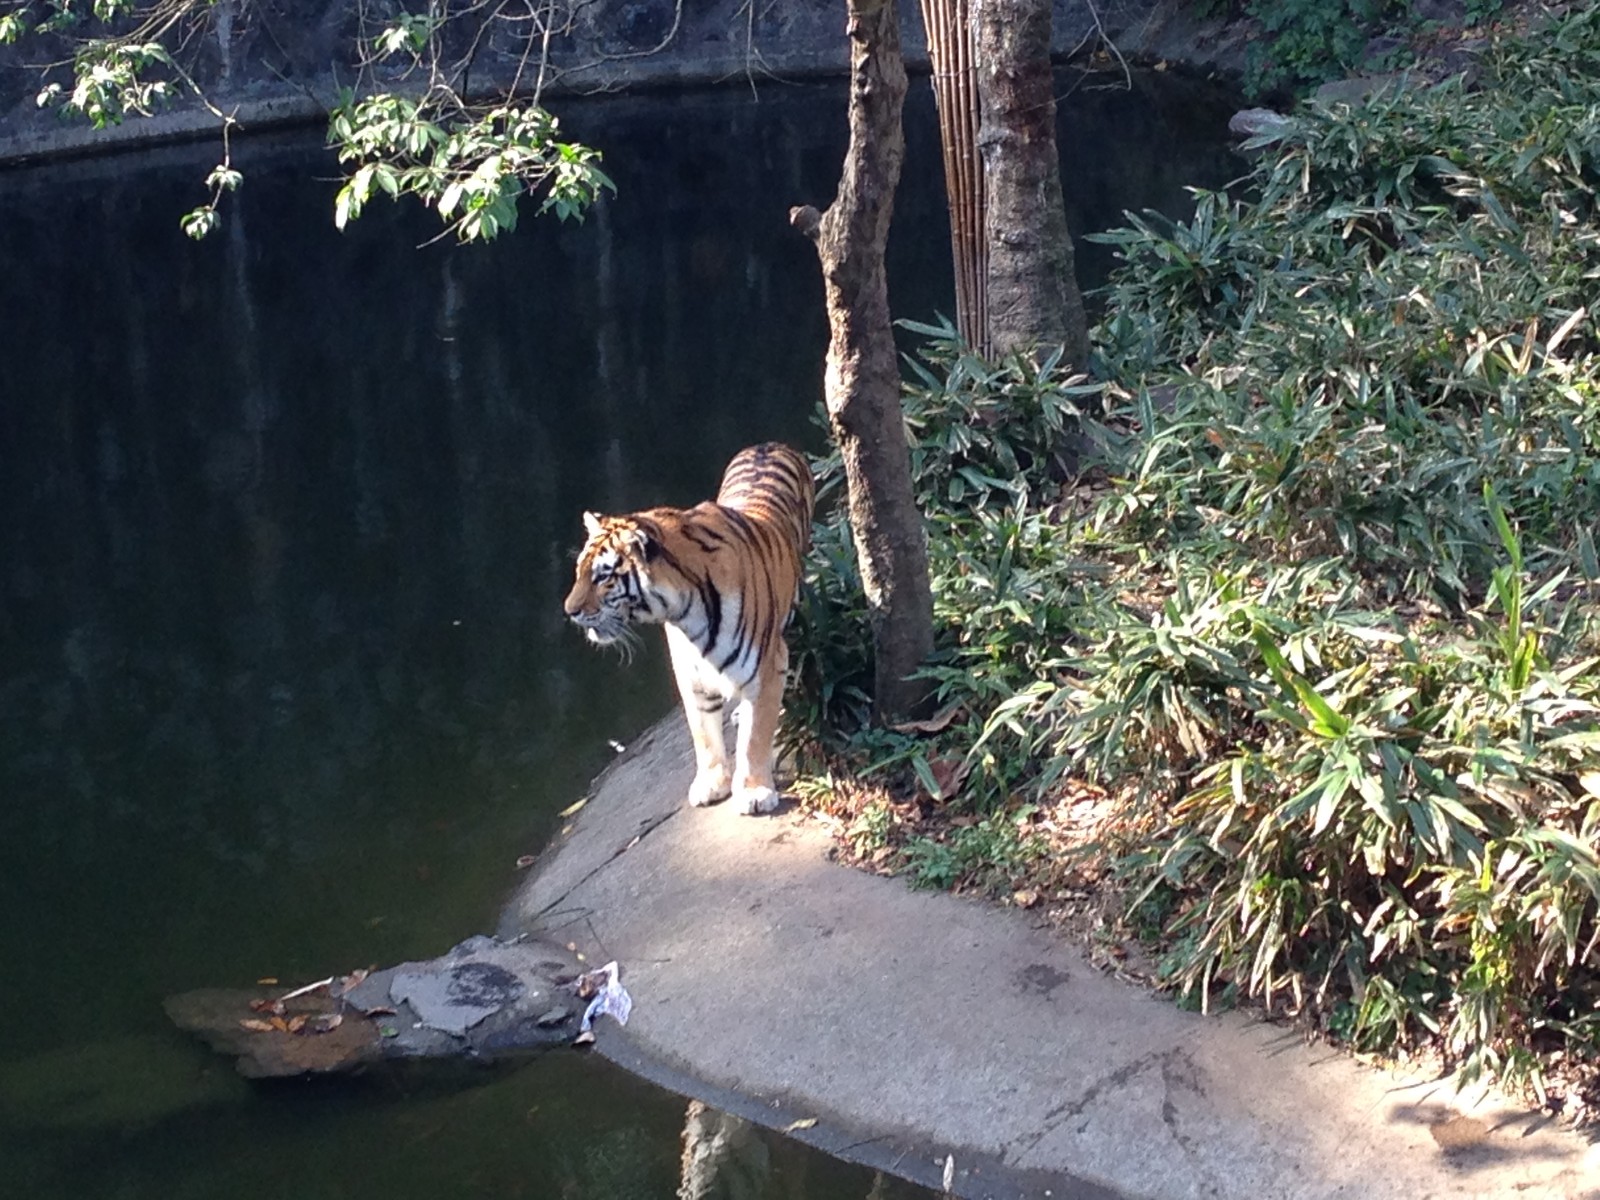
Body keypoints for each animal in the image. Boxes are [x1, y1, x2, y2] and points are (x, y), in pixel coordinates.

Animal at [563, 442, 816, 815]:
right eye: (580, 572)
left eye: (603, 576)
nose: (570, 612)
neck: (685, 611)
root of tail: (769, 444)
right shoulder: (689, 671)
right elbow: (703, 733)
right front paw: (711, 784)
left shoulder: (768, 665)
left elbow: (755, 735)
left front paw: (754, 791)